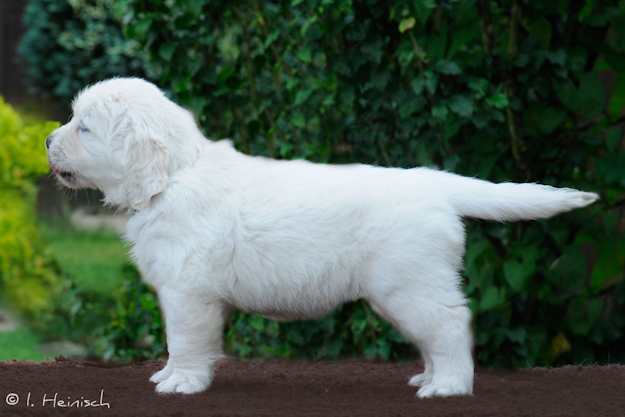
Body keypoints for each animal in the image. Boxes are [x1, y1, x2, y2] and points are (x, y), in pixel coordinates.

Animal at [45, 77, 598, 397]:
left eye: (85, 128)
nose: (48, 139)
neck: (174, 175)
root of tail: (433, 182)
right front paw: (168, 375)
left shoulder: (188, 292)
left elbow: (182, 339)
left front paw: (181, 382)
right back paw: (429, 375)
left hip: (408, 284)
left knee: (450, 325)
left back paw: (448, 387)